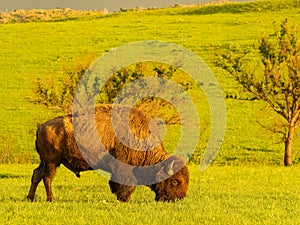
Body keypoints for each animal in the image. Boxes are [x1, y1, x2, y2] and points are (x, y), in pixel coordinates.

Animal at [27, 104, 189, 203]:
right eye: (175, 181)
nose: (178, 198)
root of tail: (42, 127)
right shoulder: (124, 168)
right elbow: (125, 185)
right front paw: (124, 200)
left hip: (44, 161)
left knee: (36, 175)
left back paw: (30, 198)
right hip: (52, 162)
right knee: (47, 178)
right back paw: (51, 199)